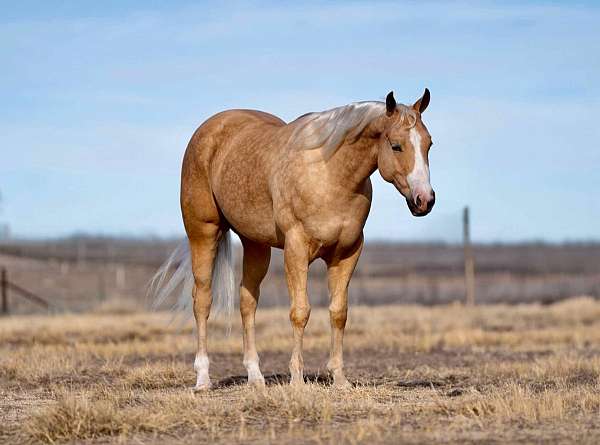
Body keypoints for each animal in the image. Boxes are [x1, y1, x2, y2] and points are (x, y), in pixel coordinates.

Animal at [154, 87, 436, 388]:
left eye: (429, 144)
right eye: (396, 145)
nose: (425, 200)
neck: (330, 174)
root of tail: (209, 129)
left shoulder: (347, 253)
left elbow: (339, 312)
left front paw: (339, 378)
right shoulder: (296, 249)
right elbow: (300, 312)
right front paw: (297, 380)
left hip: (256, 244)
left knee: (247, 302)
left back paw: (255, 376)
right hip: (203, 232)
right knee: (202, 300)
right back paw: (203, 378)